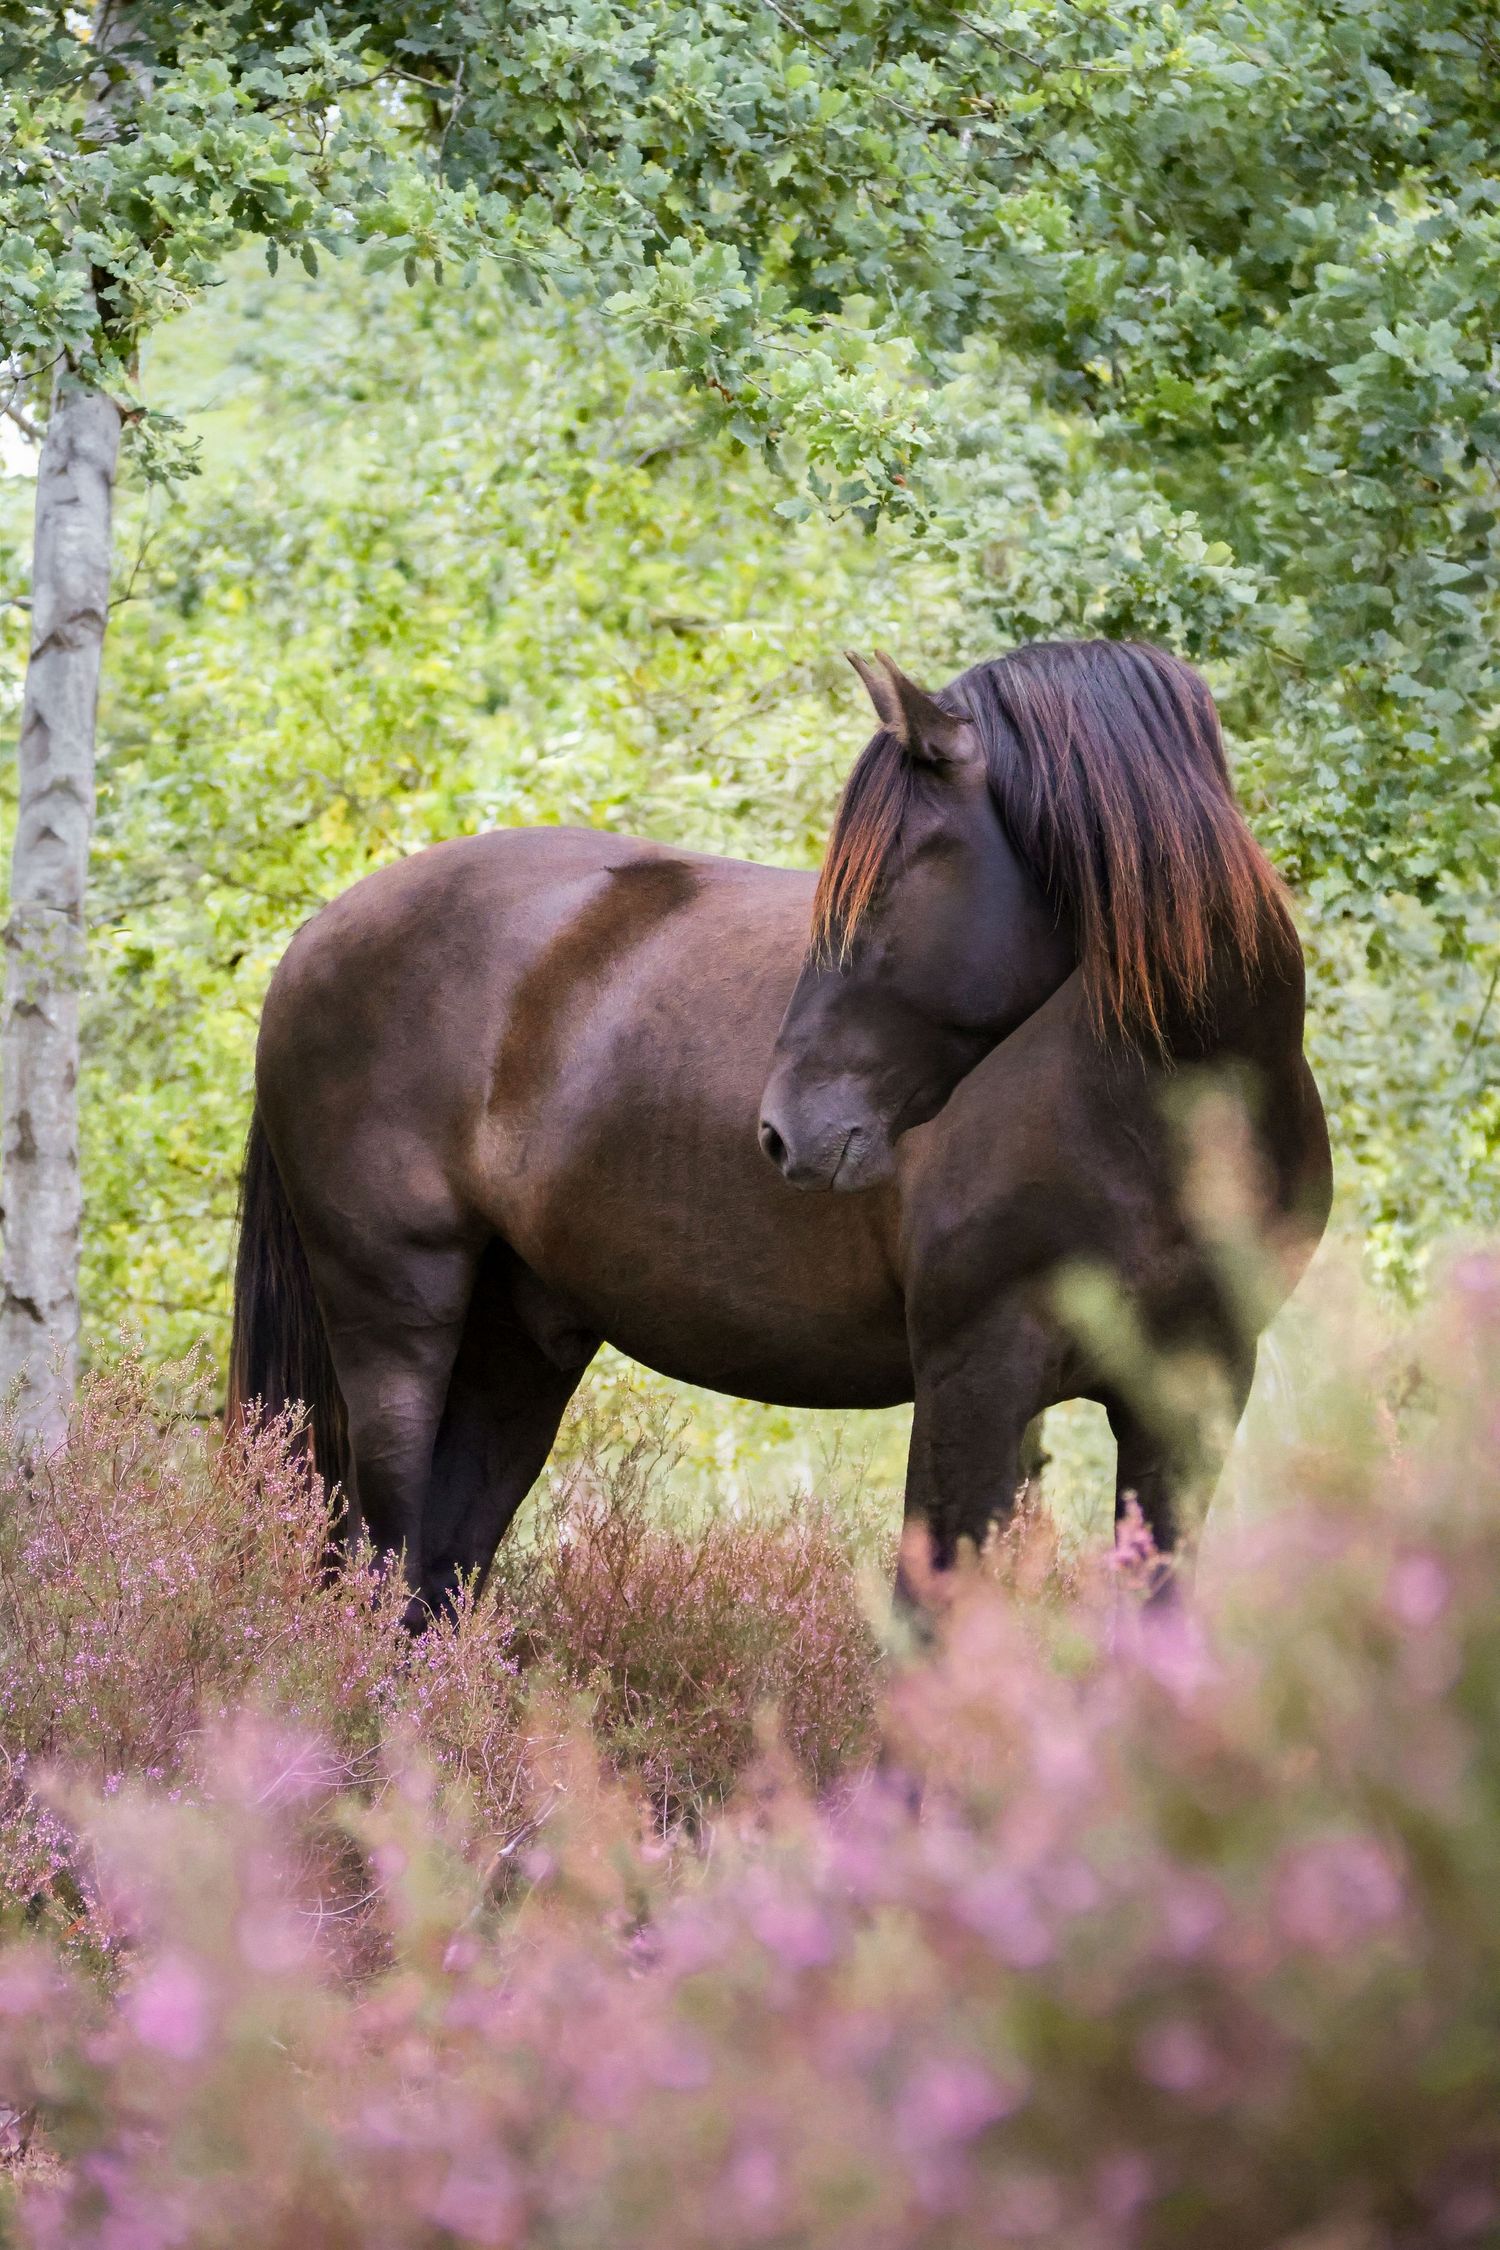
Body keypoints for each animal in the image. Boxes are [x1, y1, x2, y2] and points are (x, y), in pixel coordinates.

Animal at [230, 638, 1331, 1626]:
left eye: (890, 879)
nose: (787, 1130)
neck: (1158, 1115)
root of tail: (317, 935)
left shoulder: (1191, 1397)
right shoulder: (975, 1382)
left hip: (518, 1342)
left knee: (436, 1579)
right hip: (397, 1325)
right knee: (385, 1561)